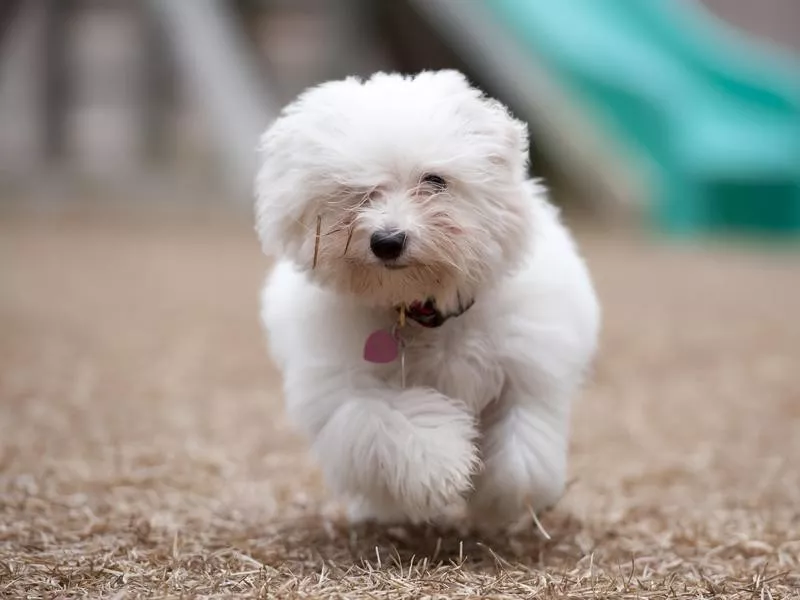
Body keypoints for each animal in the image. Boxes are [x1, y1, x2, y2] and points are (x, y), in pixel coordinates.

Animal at [253, 71, 596, 528]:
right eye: (355, 190)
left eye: (434, 180)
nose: (387, 241)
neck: (423, 309)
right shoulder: (347, 387)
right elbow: (395, 419)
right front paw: (443, 466)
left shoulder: (526, 371)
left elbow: (521, 449)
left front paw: (500, 501)